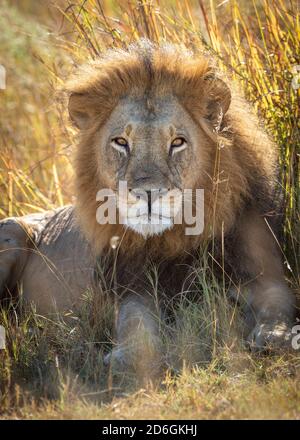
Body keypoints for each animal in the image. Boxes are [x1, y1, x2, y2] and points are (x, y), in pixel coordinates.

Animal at [0, 41, 296, 378]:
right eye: (121, 142)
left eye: (177, 142)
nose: (148, 193)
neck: (174, 238)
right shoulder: (131, 287)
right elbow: (136, 325)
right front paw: (124, 357)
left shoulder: (259, 273)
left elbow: (278, 302)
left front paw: (276, 336)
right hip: (12, 232)